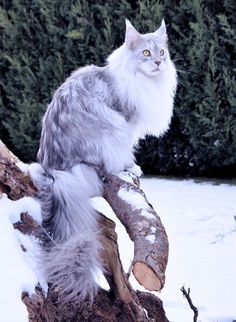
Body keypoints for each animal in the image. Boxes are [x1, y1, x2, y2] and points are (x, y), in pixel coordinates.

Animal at [33, 19, 177, 302]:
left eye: (162, 53)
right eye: (146, 53)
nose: (158, 63)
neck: (143, 81)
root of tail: (53, 169)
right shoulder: (127, 120)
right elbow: (129, 150)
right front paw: (132, 167)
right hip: (111, 129)